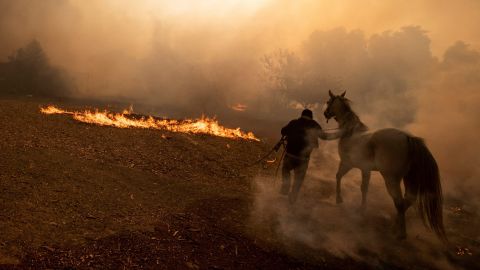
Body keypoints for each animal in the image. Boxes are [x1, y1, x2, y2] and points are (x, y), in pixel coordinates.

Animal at [322, 90, 446, 240]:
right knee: (407, 201)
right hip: (408, 179)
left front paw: (339, 199)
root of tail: (408, 138)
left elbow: (338, 176)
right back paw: (395, 225)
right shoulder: (365, 169)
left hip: (391, 179)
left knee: (399, 202)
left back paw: (400, 233)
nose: (325, 113)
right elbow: (364, 188)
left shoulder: (347, 163)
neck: (350, 131)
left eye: (328, 102)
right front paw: (362, 209)